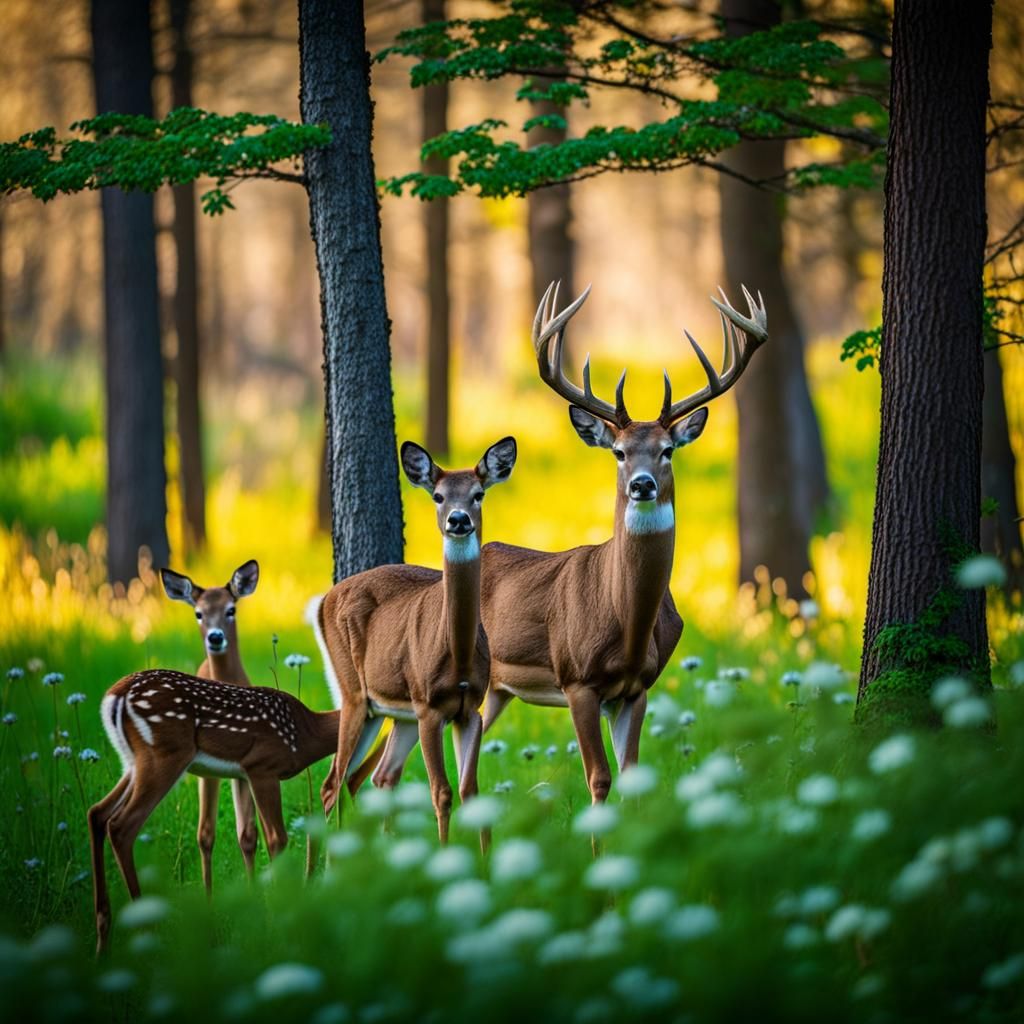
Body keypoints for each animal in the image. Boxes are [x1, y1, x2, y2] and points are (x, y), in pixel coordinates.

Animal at [89, 668, 341, 953]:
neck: (306, 732)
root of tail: (115, 696)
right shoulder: (263, 766)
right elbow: (277, 839)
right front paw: (281, 928)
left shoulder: (243, 774)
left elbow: (249, 837)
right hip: (166, 753)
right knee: (121, 826)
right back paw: (147, 935)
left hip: (133, 763)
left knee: (97, 813)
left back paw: (103, 937)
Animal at [159, 560, 261, 892]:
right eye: (198, 613)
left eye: (231, 609)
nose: (215, 637)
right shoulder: (208, 769)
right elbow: (205, 834)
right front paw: (208, 896)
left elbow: (247, 836)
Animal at [314, 437, 518, 844]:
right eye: (438, 496)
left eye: (478, 494)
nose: (458, 519)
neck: (457, 654)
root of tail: (324, 600)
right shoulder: (429, 707)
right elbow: (441, 792)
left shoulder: (469, 708)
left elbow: (471, 791)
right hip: (355, 693)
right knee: (333, 781)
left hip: (391, 711)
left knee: (373, 777)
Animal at [473, 282, 768, 804]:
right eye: (618, 451)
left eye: (668, 450)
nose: (642, 485)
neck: (626, 621)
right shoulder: (577, 680)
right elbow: (599, 777)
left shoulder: (637, 687)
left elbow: (632, 774)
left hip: (497, 689)